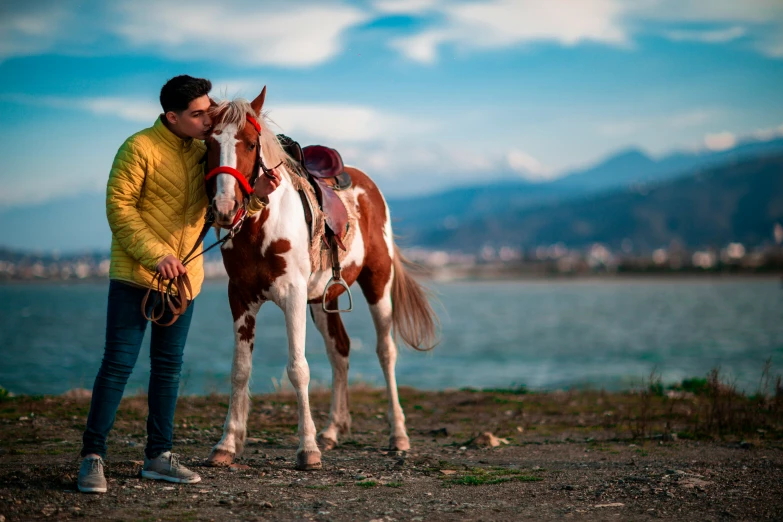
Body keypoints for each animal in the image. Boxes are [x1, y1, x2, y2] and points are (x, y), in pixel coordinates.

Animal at [202, 87, 438, 470]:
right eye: (208, 142)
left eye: (251, 144)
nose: (225, 207)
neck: (263, 225)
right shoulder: (240, 297)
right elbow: (240, 369)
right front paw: (227, 444)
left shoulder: (293, 295)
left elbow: (298, 368)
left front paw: (307, 449)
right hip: (324, 299)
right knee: (339, 350)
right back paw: (332, 430)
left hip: (377, 283)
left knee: (385, 351)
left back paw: (398, 435)